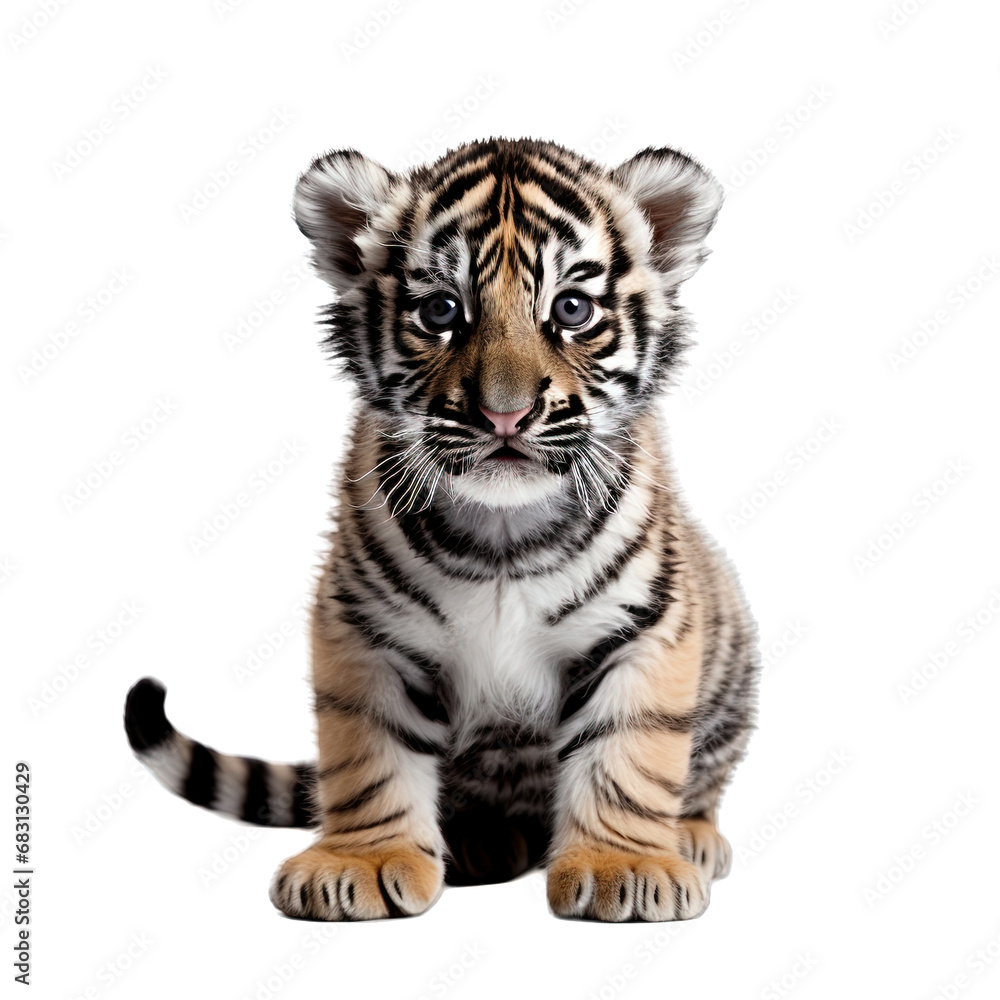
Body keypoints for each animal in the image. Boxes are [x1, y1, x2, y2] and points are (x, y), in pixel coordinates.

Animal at [124, 137, 759, 922]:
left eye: (571, 309)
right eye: (440, 311)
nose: (505, 414)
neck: (504, 531)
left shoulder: (644, 628)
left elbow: (628, 754)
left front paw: (627, 866)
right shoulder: (365, 634)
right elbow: (370, 756)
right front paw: (361, 863)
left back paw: (691, 839)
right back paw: (480, 844)